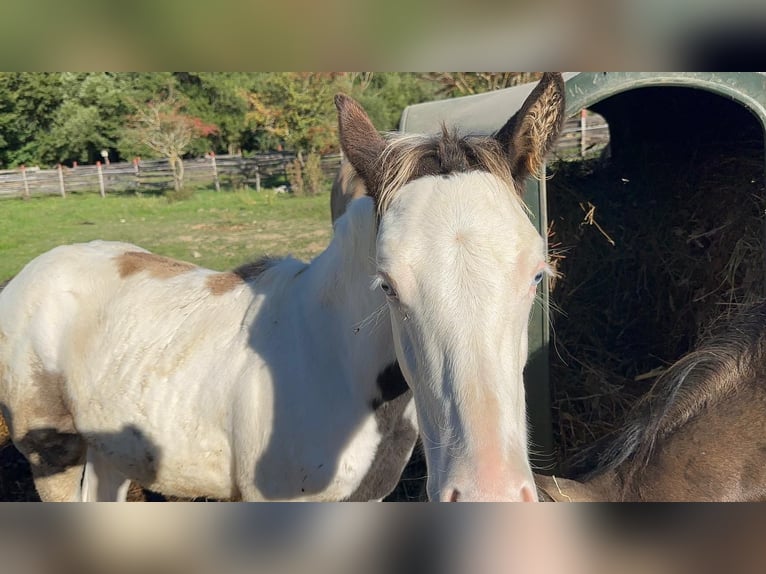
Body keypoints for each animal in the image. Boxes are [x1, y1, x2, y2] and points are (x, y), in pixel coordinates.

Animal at [0, 73, 565, 502]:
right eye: (386, 285)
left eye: (537, 273)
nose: (488, 494)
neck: (332, 363)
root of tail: (26, 275)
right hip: (52, 455)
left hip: (110, 453)